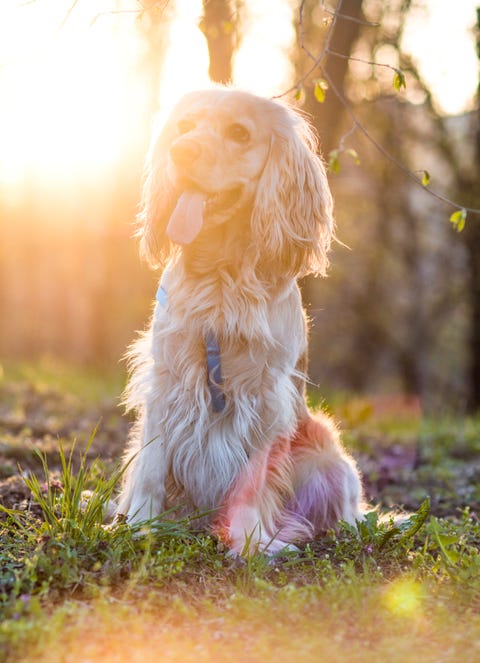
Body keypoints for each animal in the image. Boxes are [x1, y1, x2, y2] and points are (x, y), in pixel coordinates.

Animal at [117, 88, 364, 556]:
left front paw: (250, 542)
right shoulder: (165, 382)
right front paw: (139, 526)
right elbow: (151, 468)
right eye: (184, 127)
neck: (219, 278)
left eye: (239, 133)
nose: (181, 151)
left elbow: (252, 479)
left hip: (327, 454)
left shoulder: (265, 395)